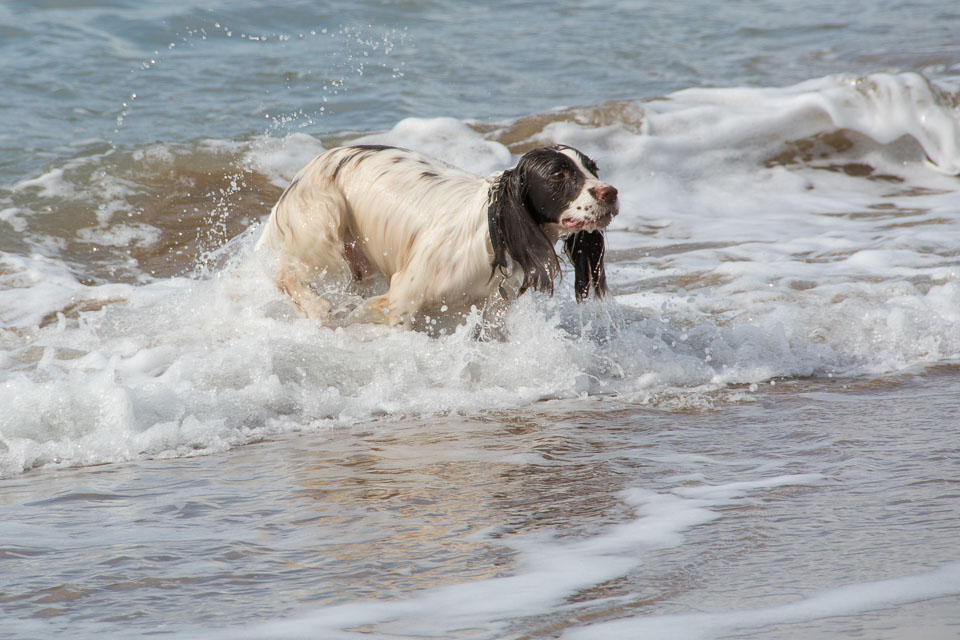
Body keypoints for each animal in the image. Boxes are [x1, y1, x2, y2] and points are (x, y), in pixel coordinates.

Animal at [255, 142, 620, 328]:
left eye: (593, 168)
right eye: (559, 175)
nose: (611, 192)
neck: (491, 234)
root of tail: (304, 170)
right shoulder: (401, 301)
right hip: (325, 228)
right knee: (285, 273)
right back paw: (318, 308)